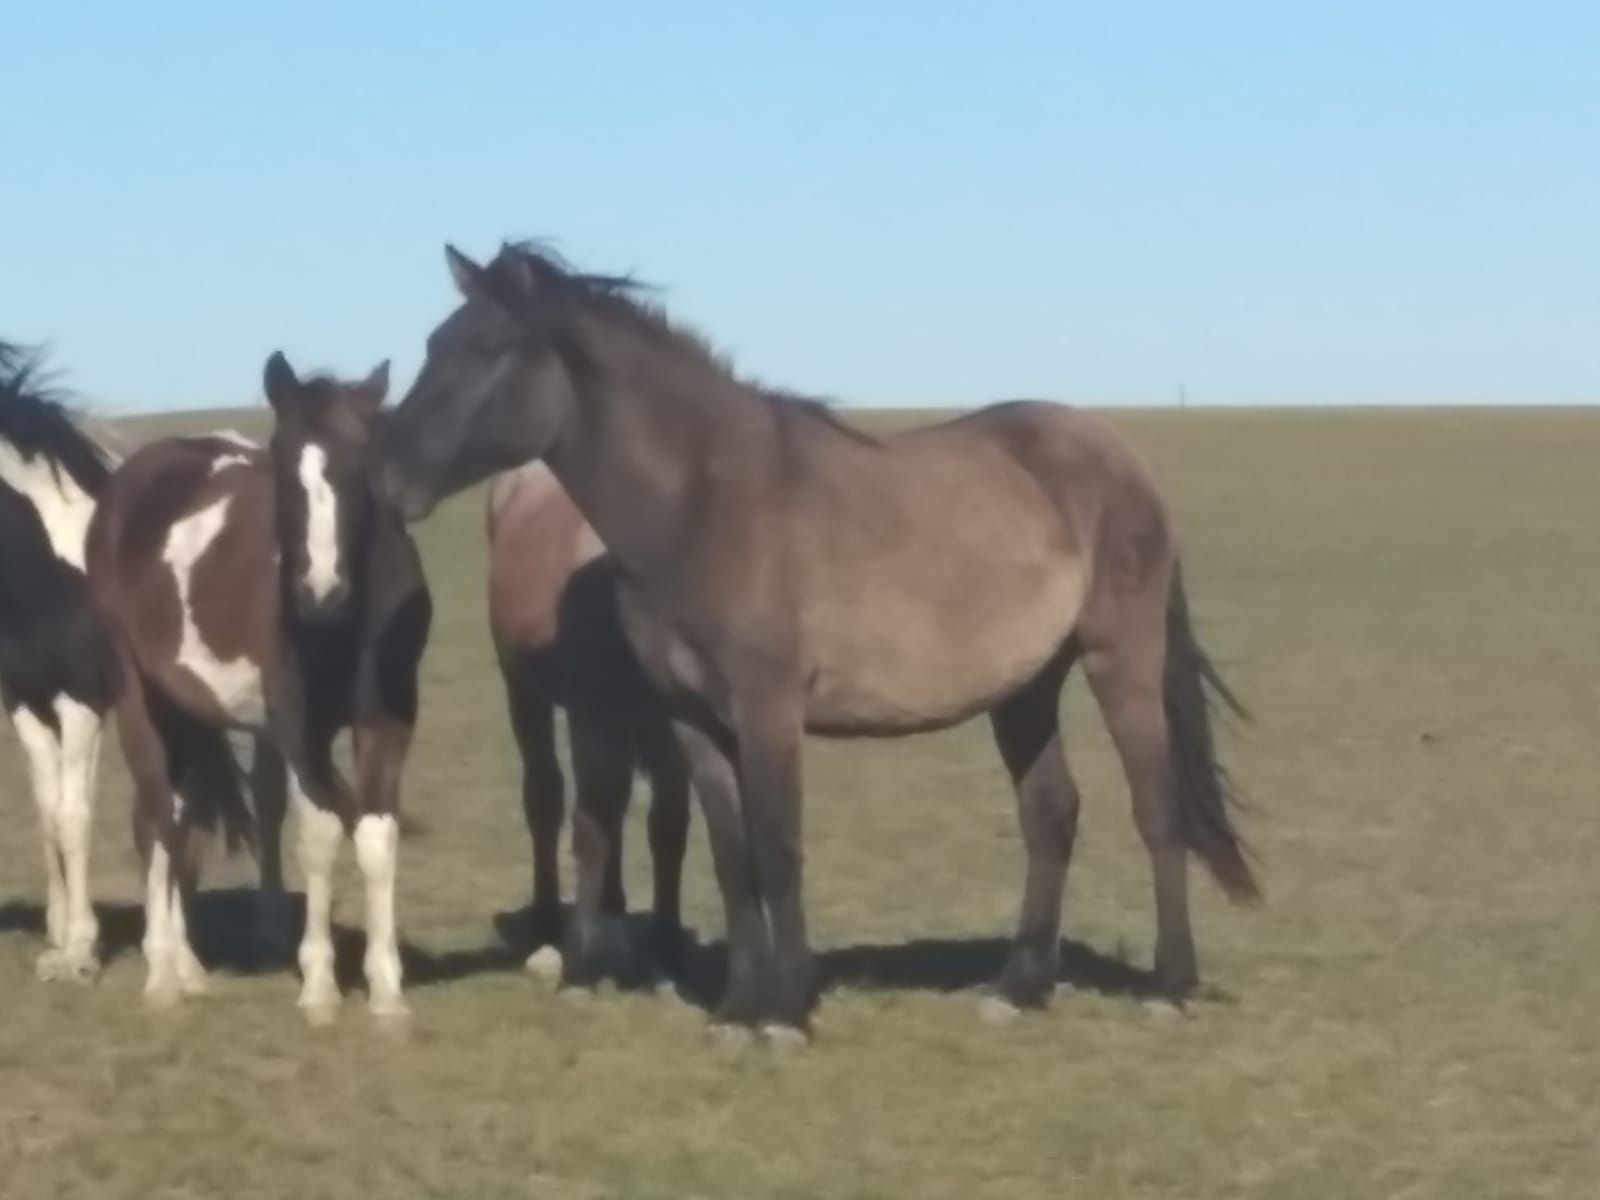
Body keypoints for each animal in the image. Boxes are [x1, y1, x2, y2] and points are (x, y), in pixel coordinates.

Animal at [83, 356, 428, 1024]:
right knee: (155, 817)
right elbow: (320, 834)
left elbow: (377, 837)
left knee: (180, 814)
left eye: (360, 466)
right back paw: (162, 974)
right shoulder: (298, 725)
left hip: (189, 709)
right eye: (284, 468)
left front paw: (387, 991)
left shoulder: (388, 721)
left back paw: (190, 968)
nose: (320, 591)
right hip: (136, 694)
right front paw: (319, 986)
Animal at [483, 464, 691, 985]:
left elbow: (668, 825)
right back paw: (547, 917)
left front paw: (669, 942)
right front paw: (580, 955)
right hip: (526, 691)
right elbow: (589, 824)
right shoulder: (593, 715)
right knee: (547, 795)